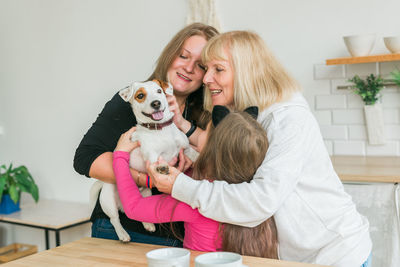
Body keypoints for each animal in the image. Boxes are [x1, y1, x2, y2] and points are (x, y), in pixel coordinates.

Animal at [90, 79, 198, 243]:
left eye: (159, 91)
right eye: (140, 95)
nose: (156, 103)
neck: (160, 130)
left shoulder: (185, 148)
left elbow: (194, 153)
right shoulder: (151, 154)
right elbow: (156, 161)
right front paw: (161, 166)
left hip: (145, 195)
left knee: (137, 213)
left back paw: (148, 224)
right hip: (108, 201)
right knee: (115, 219)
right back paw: (123, 234)